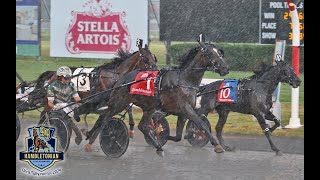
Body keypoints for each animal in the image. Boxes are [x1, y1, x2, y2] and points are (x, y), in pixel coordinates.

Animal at [84, 39, 229, 156]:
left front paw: (166, 135)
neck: (183, 80)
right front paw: (217, 145)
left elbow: (178, 135)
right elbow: (201, 123)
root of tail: (122, 78)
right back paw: (93, 140)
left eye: (220, 53)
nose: (225, 68)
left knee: (141, 125)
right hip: (119, 103)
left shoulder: (182, 113)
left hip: (148, 107)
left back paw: (158, 146)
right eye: (211, 54)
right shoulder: (185, 108)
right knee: (104, 118)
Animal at [172, 59, 300, 155]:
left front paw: (272, 129)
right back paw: (190, 133)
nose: (298, 81)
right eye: (287, 70)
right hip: (206, 107)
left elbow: (277, 122)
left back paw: (225, 146)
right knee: (196, 118)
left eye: (293, 69)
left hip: (224, 112)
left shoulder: (266, 112)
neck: (261, 88)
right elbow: (266, 132)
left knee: (218, 128)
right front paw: (276, 149)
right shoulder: (258, 113)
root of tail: (207, 87)